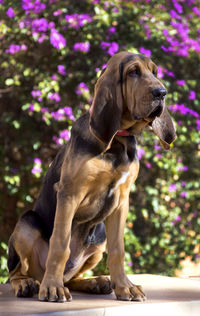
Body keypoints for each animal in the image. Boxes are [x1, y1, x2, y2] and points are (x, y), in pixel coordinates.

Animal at [7, 51, 176, 302]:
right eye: (133, 72)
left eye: (155, 72)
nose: (161, 93)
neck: (118, 138)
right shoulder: (69, 193)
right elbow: (60, 244)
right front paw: (53, 288)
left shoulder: (122, 200)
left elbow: (118, 250)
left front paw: (125, 287)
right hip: (27, 223)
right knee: (17, 271)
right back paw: (29, 283)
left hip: (99, 238)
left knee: (72, 277)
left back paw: (96, 282)